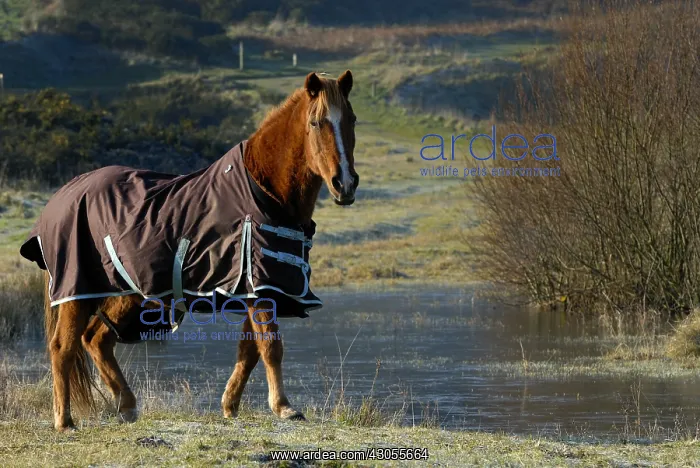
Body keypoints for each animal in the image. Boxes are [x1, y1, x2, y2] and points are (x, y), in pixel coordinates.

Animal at [19, 71, 359, 432]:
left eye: (351, 119)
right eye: (316, 122)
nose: (345, 184)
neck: (263, 193)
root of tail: (63, 194)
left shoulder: (257, 288)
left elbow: (249, 349)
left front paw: (230, 405)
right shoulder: (259, 288)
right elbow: (270, 346)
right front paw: (283, 407)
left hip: (128, 292)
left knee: (96, 339)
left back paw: (127, 406)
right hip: (77, 290)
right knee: (63, 347)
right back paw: (64, 420)